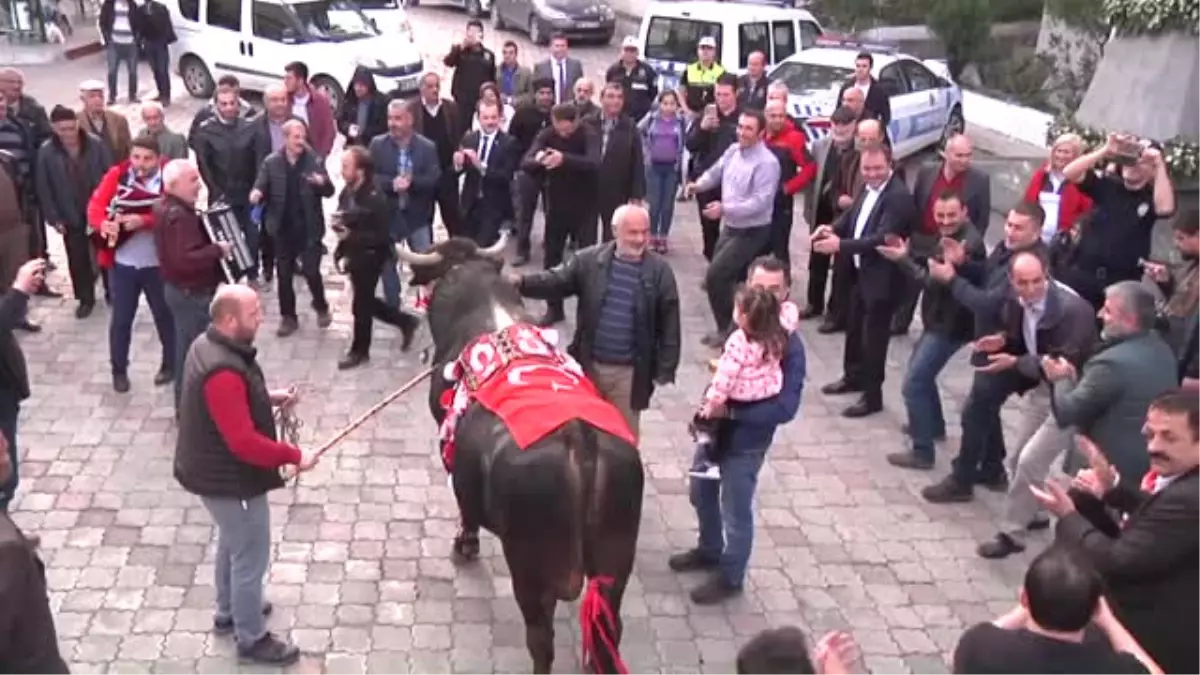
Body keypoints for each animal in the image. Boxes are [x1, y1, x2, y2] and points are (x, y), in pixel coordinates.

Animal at [400, 233, 648, 672]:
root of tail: (578, 438)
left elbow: (464, 505)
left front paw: (465, 543)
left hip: (530, 567)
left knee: (540, 638)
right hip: (615, 561)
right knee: (608, 629)